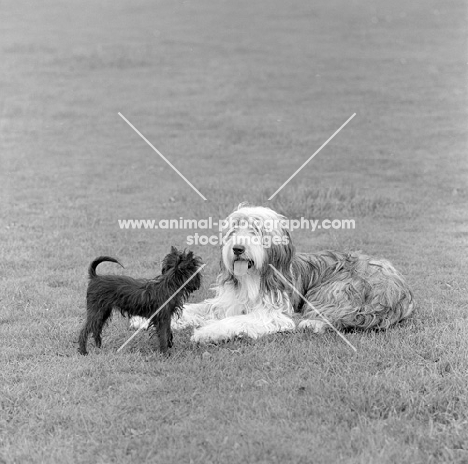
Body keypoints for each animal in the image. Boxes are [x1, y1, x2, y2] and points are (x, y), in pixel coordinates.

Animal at [132, 207, 414, 344]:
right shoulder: (227, 302)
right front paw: (143, 319)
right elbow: (198, 308)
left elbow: (238, 320)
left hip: (335, 288)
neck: (254, 277)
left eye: (256, 230)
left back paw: (312, 324)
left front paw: (208, 333)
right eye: (234, 229)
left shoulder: (275, 313)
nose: (237, 248)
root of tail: (400, 292)